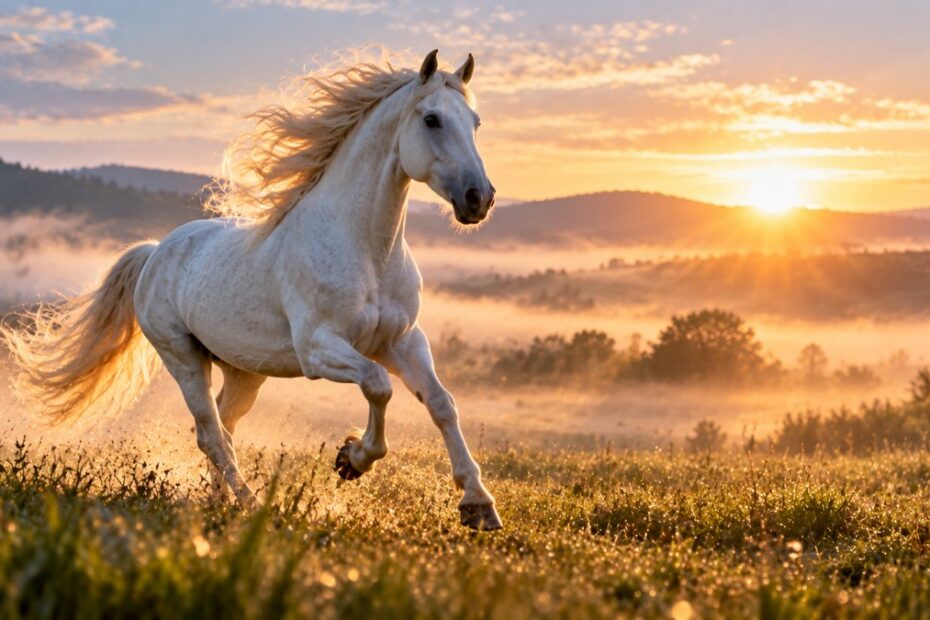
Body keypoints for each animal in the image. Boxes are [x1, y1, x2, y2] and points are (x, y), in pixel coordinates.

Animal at [1, 50, 502, 530]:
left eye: (476, 122)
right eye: (432, 119)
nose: (479, 198)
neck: (364, 248)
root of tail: (156, 251)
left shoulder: (402, 341)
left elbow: (442, 404)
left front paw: (478, 506)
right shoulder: (320, 349)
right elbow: (378, 386)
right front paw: (351, 459)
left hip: (244, 372)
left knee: (224, 426)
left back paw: (219, 500)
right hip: (182, 358)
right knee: (211, 432)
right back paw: (251, 503)